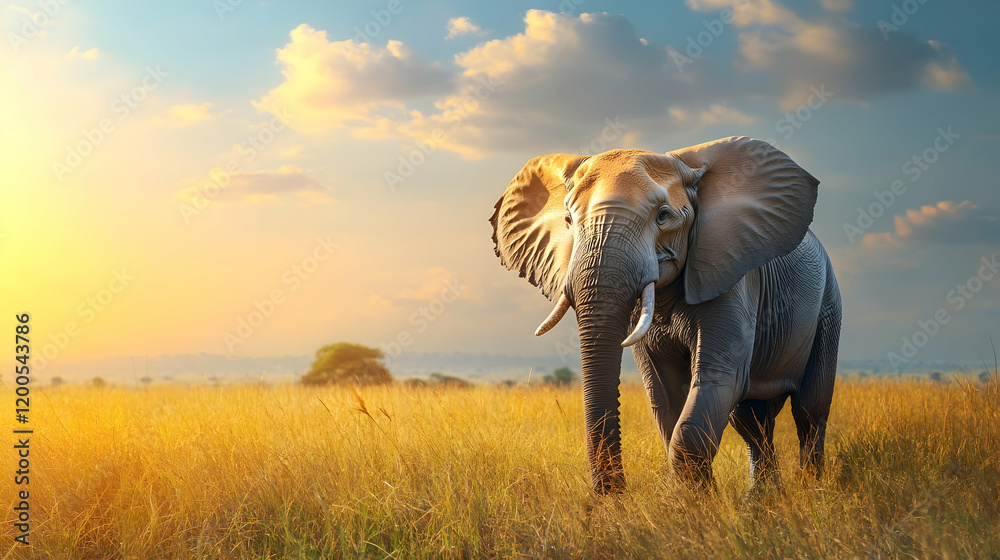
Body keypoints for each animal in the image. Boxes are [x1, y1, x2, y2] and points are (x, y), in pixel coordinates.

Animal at [489, 137, 842, 494]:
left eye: (663, 216)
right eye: (568, 221)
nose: (615, 496)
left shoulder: (730, 273)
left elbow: (719, 378)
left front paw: (699, 503)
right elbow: (664, 391)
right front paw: (695, 500)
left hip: (828, 303)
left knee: (809, 410)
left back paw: (810, 491)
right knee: (751, 420)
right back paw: (762, 500)